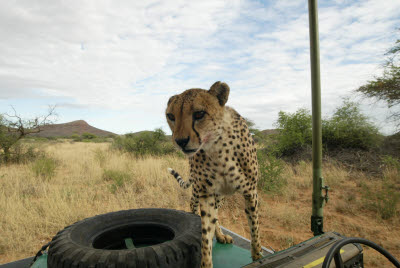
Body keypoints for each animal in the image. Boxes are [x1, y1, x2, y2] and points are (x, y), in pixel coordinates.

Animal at [166, 80, 262, 266]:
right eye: (171, 117)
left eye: (199, 114)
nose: (180, 141)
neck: (218, 148)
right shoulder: (206, 194)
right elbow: (205, 235)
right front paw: (206, 262)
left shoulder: (250, 191)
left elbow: (254, 227)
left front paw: (257, 255)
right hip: (200, 192)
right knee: (194, 207)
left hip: (221, 196)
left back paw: (221, 235)